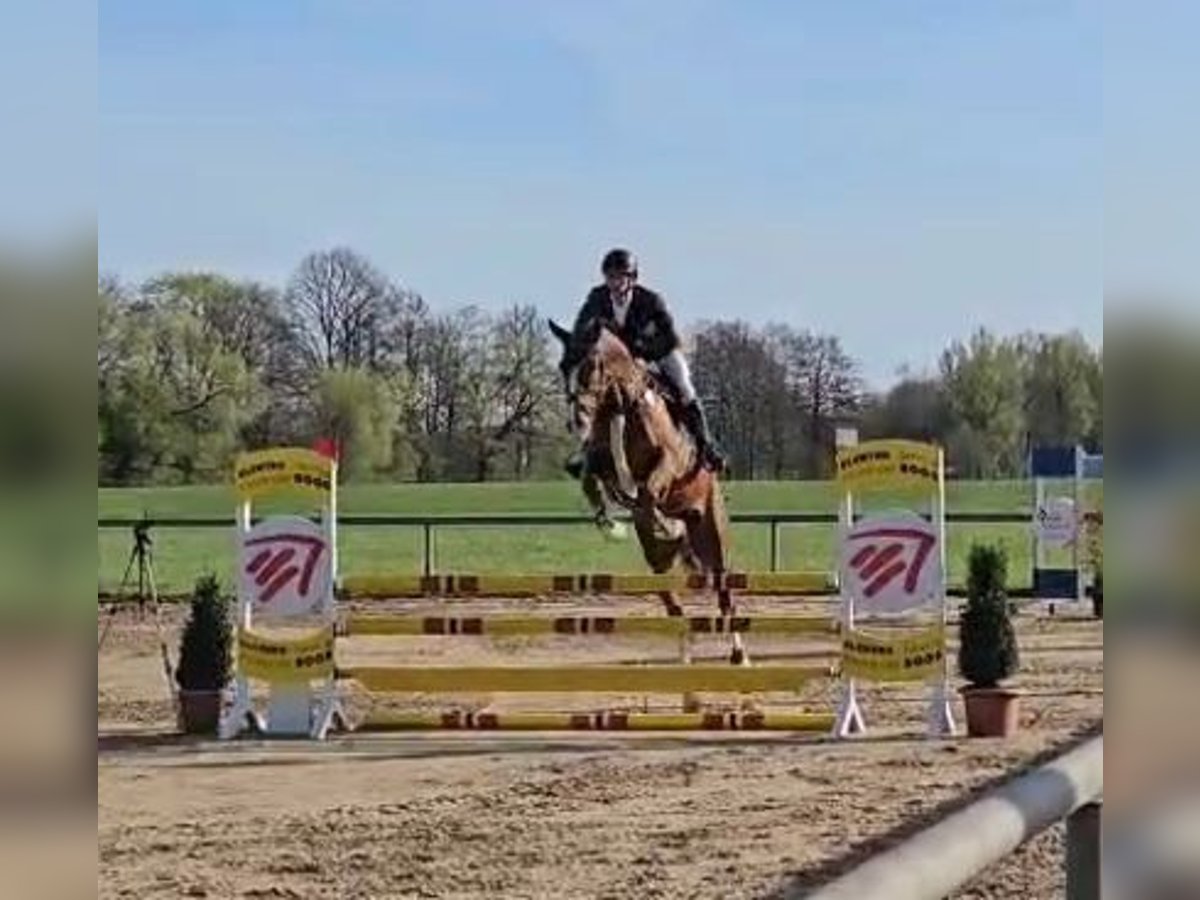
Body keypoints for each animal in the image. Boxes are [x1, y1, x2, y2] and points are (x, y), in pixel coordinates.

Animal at [549, 319, 734, 628]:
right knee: (667, 585)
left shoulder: (669, 461)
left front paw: (658, 528)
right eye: (564, 365)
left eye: (591, 364)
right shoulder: (601, 460)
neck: (620, 406)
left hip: (712, 532)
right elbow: (592, 478)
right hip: (664, 553)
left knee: (725, 594)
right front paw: (613, 525)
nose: (578, 419)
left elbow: (648, 492)